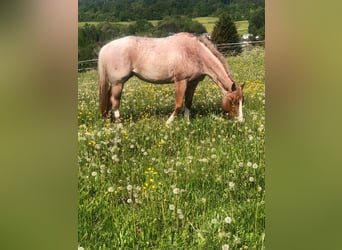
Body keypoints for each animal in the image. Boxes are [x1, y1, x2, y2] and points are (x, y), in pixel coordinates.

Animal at [97, 32, 244, 124]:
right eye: (234, 101)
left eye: (242, 101)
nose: (240, 121)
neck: (195, 53)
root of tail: (105, 48)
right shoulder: (180, 81)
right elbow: (178, 105)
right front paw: (168, 123)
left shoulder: (193, 83)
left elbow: (188, 102)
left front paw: (187, 122)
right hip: (118, 83)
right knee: (115, 101)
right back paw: (119, 124)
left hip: (115, 83)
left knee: (109, 99)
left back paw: (108, 120)